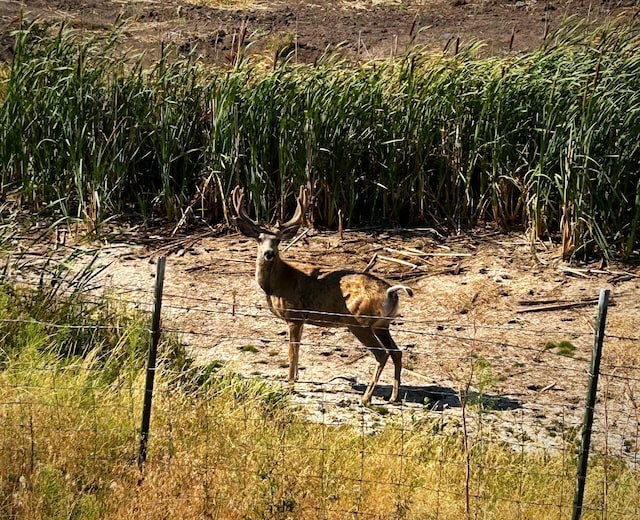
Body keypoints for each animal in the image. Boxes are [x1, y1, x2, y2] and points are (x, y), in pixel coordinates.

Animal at [232, 187, 412, 406]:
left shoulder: (294, 315)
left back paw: (366, 398)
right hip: (381, 325)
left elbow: (292, 351)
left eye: (278, 240)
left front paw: (290, 385)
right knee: (396, 352)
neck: (278, 283)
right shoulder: (301, 319)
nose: (268, 254)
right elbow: (298, 349)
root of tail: (391, 292)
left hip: (359, 322)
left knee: (382, 354)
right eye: (259, 239)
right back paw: (393, 397)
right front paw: (296, 378)